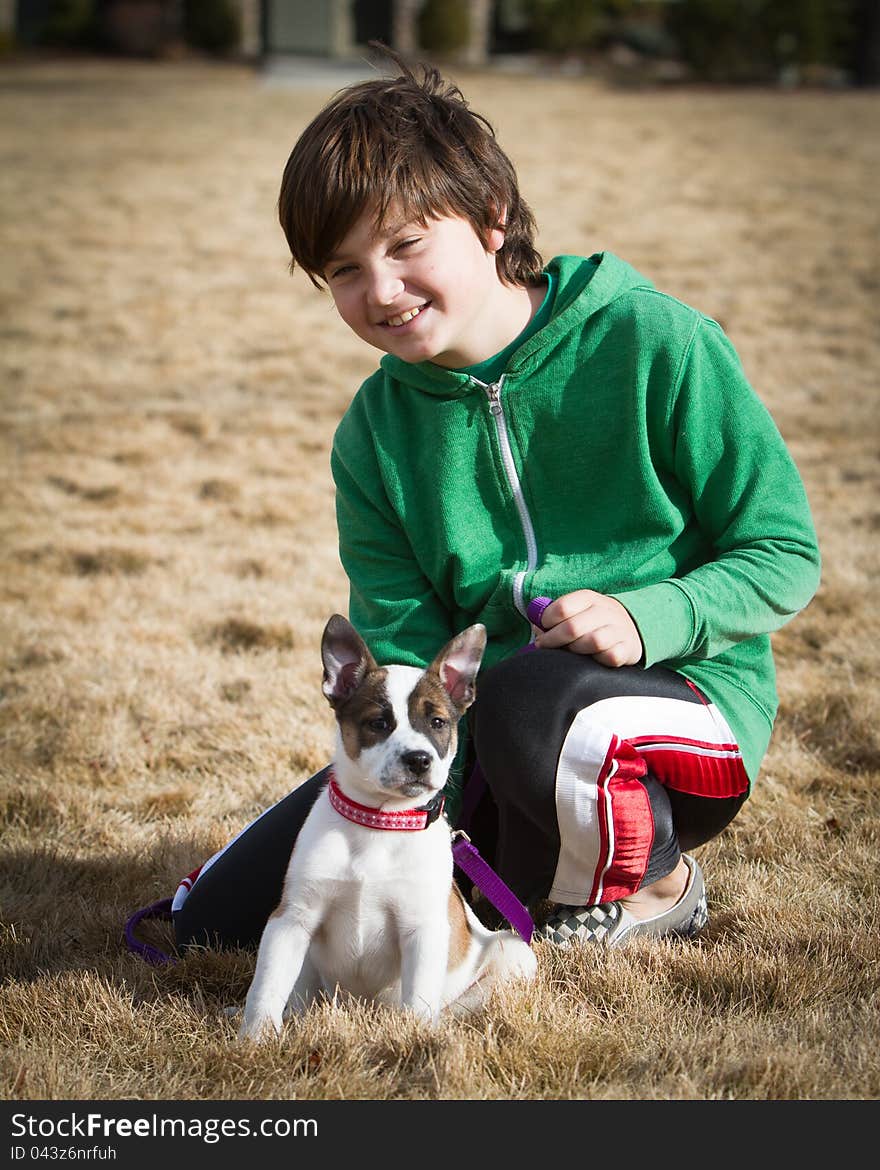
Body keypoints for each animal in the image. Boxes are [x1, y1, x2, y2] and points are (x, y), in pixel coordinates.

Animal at [235, 617, 535, 1038]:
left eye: (438, 722)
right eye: (379, 723)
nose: (419, 760)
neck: (381, 821)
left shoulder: (423, 929)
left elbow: (419, 998)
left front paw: (416, 1038)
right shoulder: (291, 920)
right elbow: (267, 986)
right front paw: (256, 1037)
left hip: (515, 954)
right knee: (299, 998)